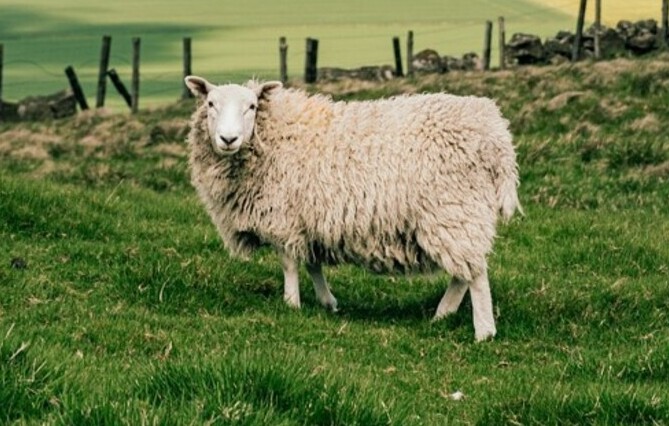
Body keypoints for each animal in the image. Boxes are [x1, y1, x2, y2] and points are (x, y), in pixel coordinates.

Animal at [184, 75, 520, 342]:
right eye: (210, 103)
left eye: (252, 106)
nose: (228, 138)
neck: (274, 136)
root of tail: (497, 136)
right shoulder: (309, 219)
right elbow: (313, 263)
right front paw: (327, 302)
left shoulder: (284, 218)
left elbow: (290, 264)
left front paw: (291, 304)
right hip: (458, 216)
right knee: (464, 272)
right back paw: (443, 315)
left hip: (455, 209)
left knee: (476, 273)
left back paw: (483, 331)